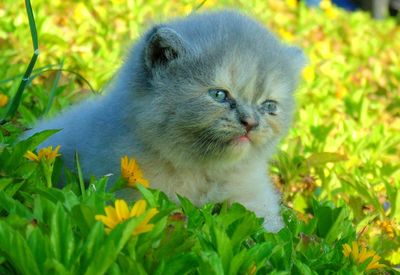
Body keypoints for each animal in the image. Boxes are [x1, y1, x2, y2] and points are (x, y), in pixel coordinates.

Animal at [28, 10, 304, 233]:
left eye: (269, 106)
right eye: (219, 95)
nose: (250, 123)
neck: (201, 170)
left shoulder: (253, 196)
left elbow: (269, 232)